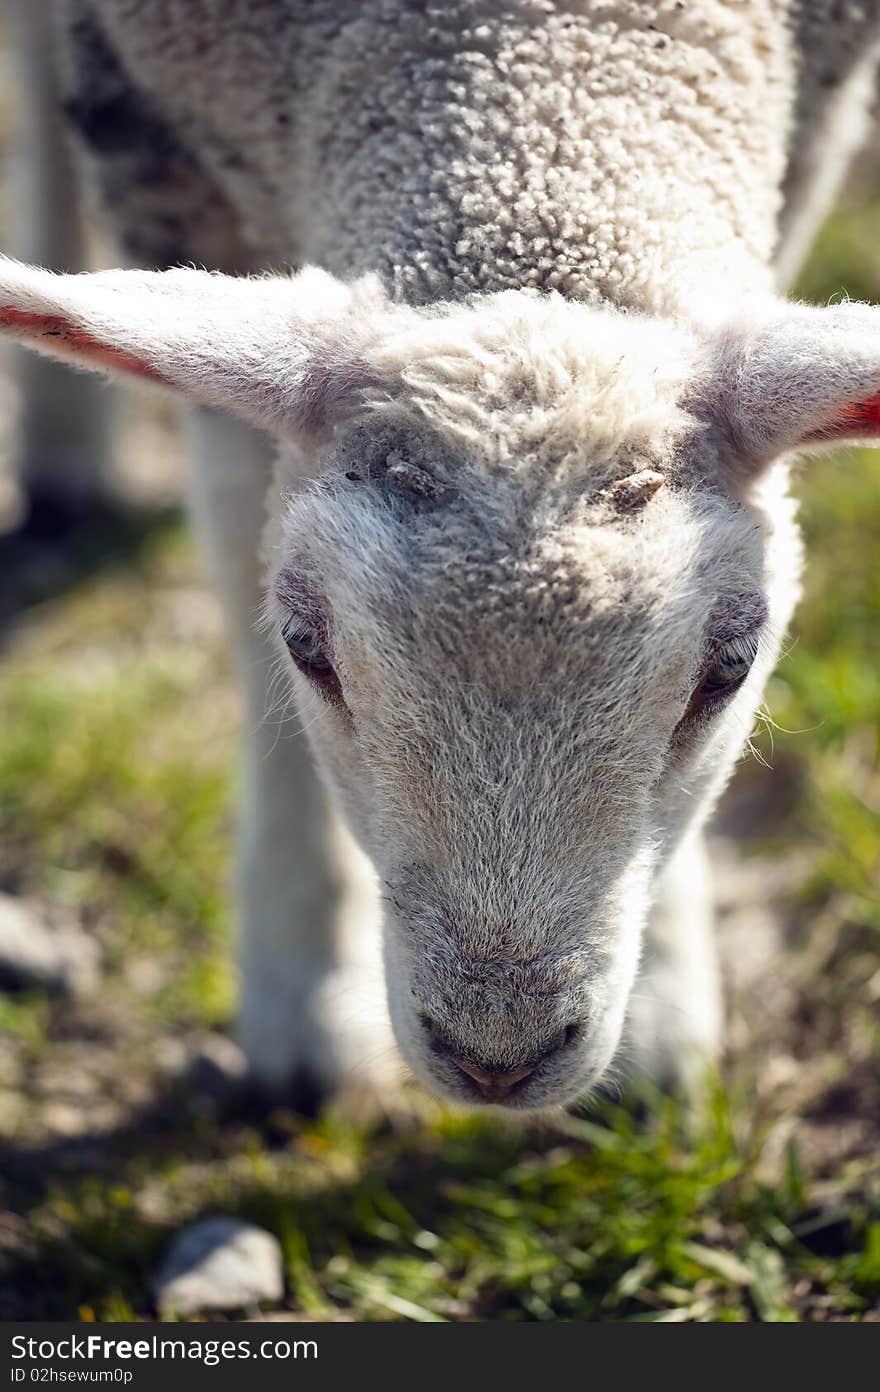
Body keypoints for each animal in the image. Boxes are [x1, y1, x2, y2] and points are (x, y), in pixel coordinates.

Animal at [1, 2, 880, 1108]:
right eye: (307, 650)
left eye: (729, 670)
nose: (496, 1055)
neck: (534, 60)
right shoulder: (163, 151)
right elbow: (240, 529)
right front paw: (303, 990)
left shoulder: (818, 118)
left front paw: (662, 1007)